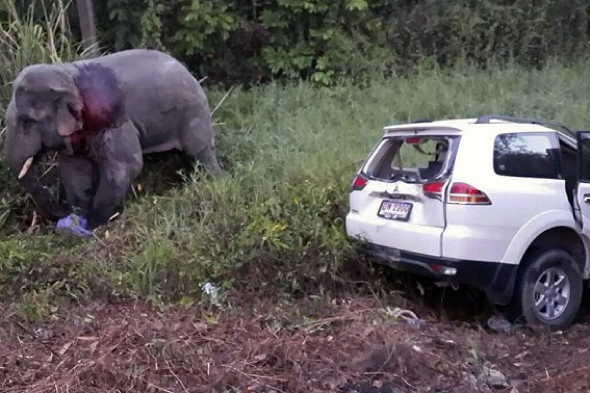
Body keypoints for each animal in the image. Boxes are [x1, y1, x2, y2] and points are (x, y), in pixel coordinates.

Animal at [2, 47, 224, 234]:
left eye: (27, 123)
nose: (62, 213)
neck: (66, 75)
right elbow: (75, 172)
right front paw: (79, 220)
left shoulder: (114, 121)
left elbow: (125, 166)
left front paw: (93, 225)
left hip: (193, 114)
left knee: (200, 153)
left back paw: (216, 180)